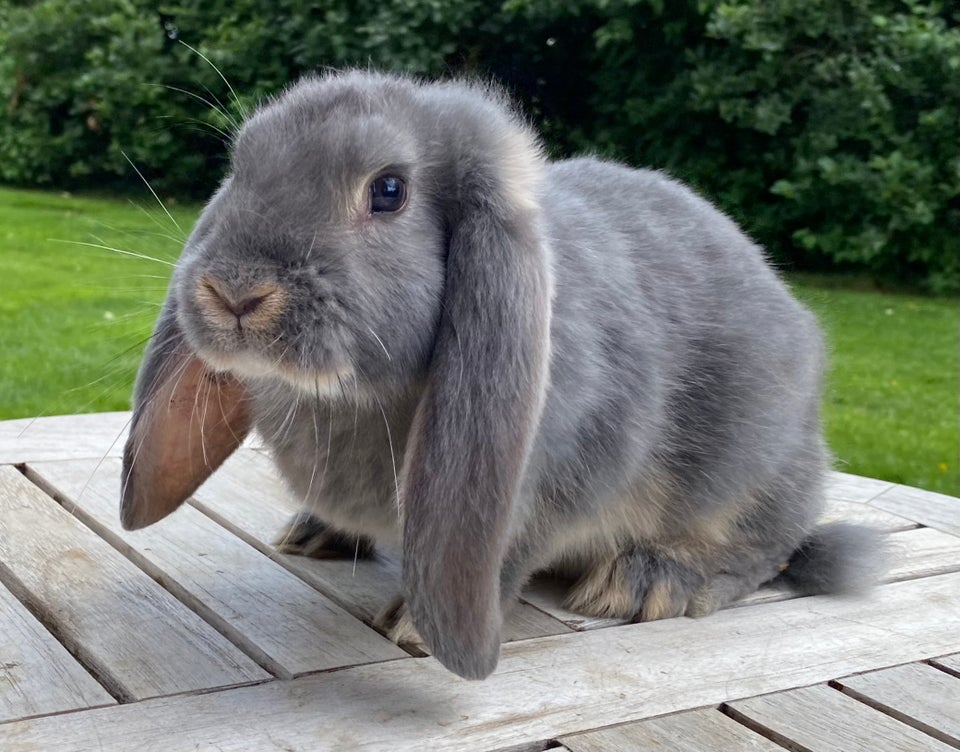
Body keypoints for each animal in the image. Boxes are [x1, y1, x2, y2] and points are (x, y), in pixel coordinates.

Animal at [122, 70, 884, 680]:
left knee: (768, 548)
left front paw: (411, 627)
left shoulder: (560, 484)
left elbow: (510, 554)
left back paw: (648, 582)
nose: (234, 290)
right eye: (241, 168)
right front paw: (318, 532)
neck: (355, 401)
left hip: (752, 468)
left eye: (389, 190)